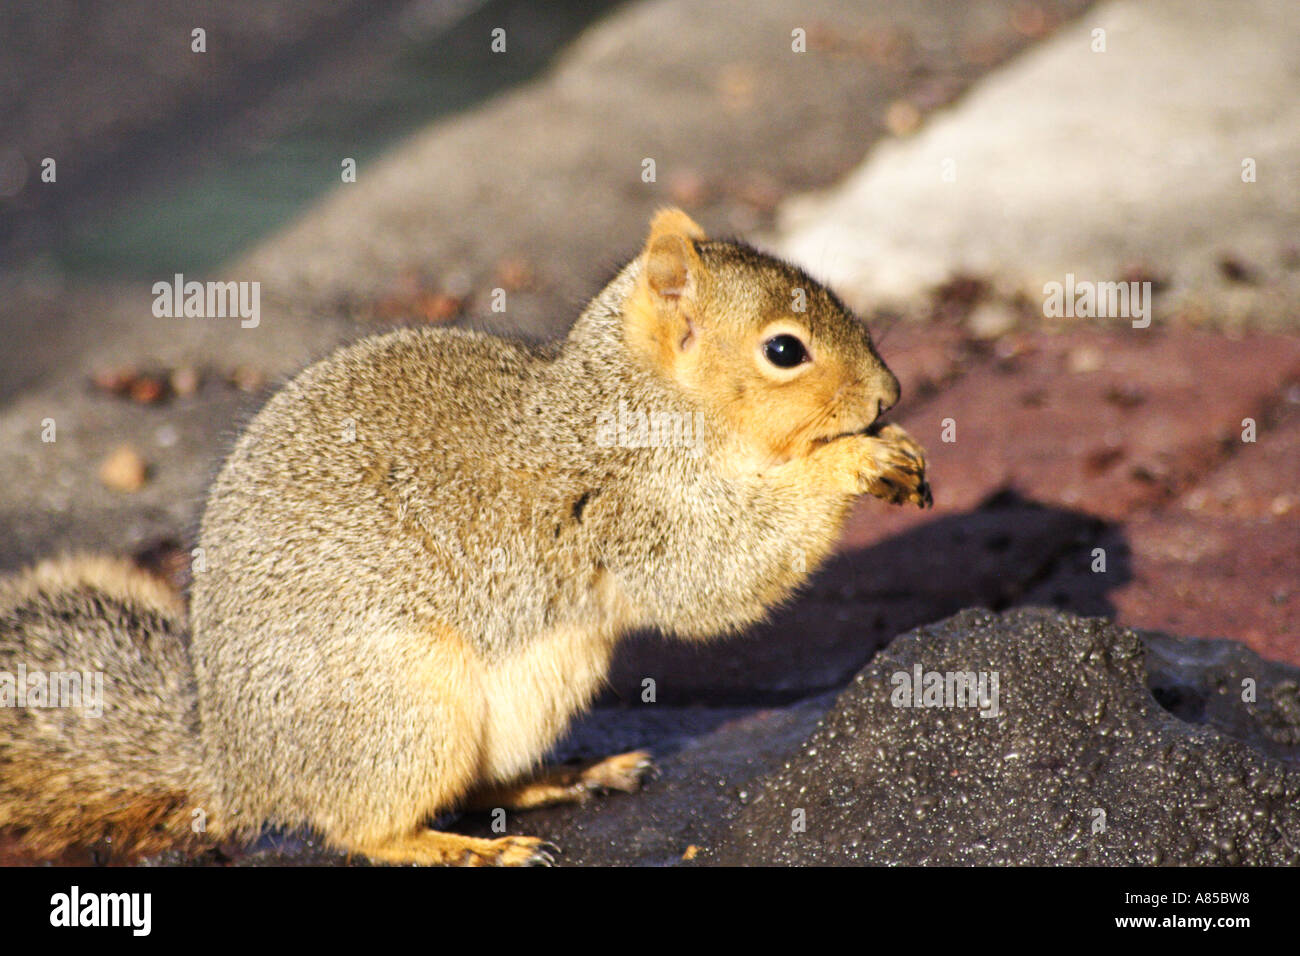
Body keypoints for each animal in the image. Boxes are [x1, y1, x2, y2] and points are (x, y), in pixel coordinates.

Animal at [0, 209, 930, 866]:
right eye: (784, 350)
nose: (889, 392)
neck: (635, 405)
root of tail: (239, 767)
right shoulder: (629, 508)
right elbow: (716, 577)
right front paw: (854, 461)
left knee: (478, 785)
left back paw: (568, 777)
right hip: (402, 704)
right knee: (363, 827)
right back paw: (466, 850)